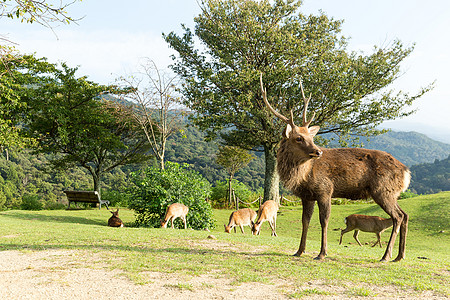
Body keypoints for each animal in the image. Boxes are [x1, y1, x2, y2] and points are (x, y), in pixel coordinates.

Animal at [260, 74, 412, 262]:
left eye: (311, 137)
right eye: (298, 138)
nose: (318, 151)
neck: (303, 176)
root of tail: (406, 172)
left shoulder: (325, 189)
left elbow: (324, 220)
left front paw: (321, 253)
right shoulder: (307, 195)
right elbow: (305, 221)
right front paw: (299, 250)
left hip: (383, 190)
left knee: (398, 216)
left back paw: (386, 256)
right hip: (391, 193)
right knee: (405, 215)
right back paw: (399, 256)